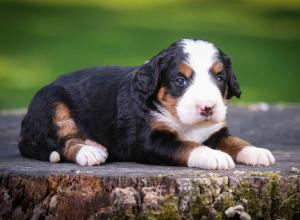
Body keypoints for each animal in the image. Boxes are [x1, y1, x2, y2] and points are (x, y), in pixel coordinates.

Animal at [18, 38, 276, 169]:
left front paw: (255, 151)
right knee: (64, 141)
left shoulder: (215, 131)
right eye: (180, 80)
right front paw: (214, 156)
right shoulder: (149, 140)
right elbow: (187, 146)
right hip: (53, 105)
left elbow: (234, 140)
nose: (207, 108)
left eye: (219, 78)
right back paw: (89, 151)